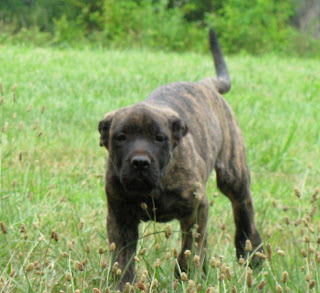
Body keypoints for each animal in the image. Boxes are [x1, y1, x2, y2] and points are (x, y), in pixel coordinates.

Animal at [99, 28, 262, 288]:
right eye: (121, 137)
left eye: (160, 138)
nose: (140, 162)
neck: (154, 186)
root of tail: (205, 84)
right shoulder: (120, 216)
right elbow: (122, 258)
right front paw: (122, 284)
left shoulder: (195, 209)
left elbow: (190, 247)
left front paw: (186, 276)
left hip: (232, 173)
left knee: (243, 205)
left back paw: (250, 251)